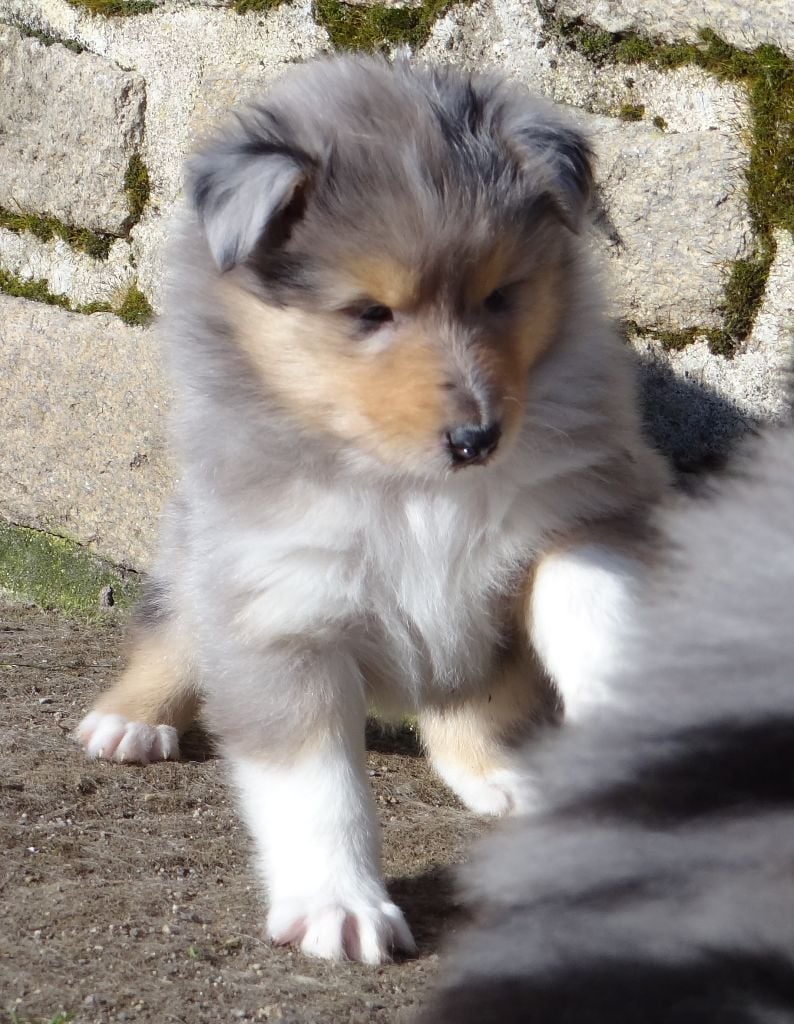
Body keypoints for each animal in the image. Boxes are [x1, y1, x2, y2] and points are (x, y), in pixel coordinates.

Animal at [75, 54, 668, 964]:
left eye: (500, 295)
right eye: (369, 313)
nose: (478, 439)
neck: (410, 487)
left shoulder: (590, 505)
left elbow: (589, 602)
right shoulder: (279, 606)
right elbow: (316, 782)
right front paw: (338, 905)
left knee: (465, 705)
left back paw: (501, 776)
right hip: (194, 564)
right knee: (168, 637)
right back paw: (127, 723)